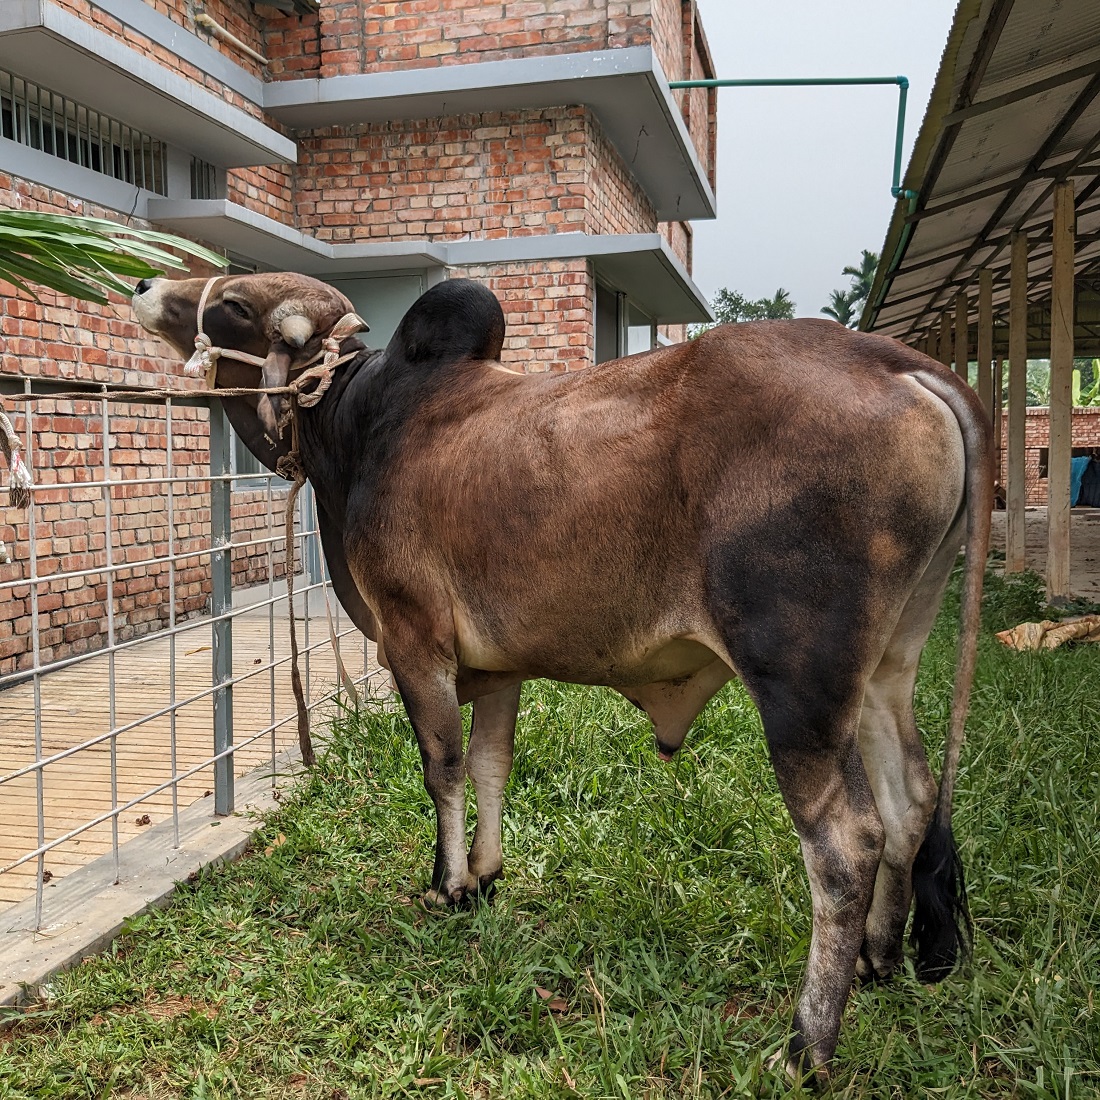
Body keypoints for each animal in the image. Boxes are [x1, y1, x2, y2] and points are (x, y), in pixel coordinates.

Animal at [133, 270, 994, 1078]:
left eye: (235, 303)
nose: (144, 283)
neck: (357, 422)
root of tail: (895, 362)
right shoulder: (496, 667)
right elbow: (491, 764)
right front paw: (484, 878)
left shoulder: (415, 641)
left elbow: (443, 767)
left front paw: (445, 886)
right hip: (885, 668)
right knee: (911, 799)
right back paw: (879, 960)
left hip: (799, 683)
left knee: (846, 843)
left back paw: (807, 1046)